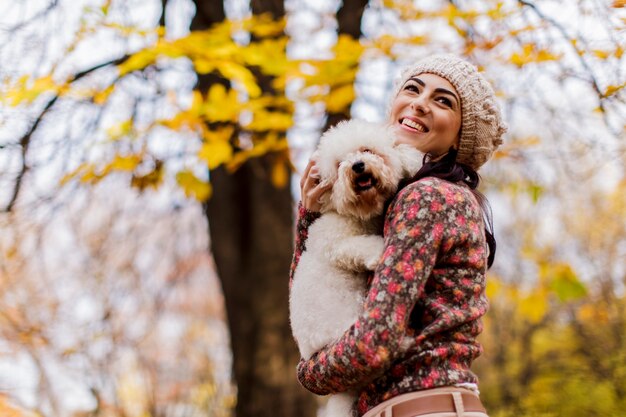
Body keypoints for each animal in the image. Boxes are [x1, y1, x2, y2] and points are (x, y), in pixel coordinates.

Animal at [290, 118, 422, 416]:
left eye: (366, 150)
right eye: (340, 163)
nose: (357, 165)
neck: (359, 214)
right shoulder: (335, 243)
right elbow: (361, 246)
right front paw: (379, 250)